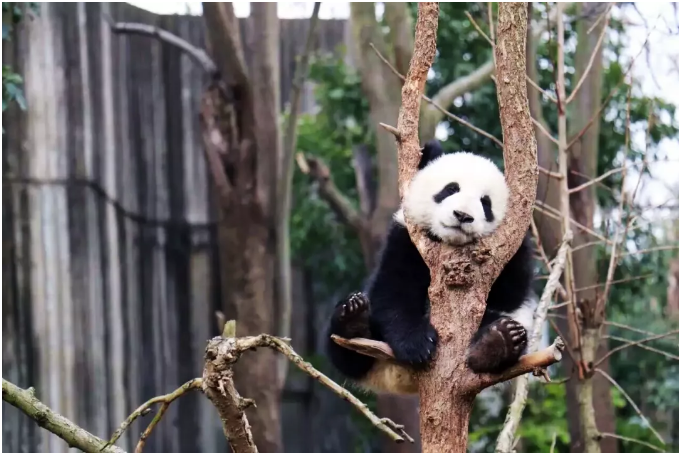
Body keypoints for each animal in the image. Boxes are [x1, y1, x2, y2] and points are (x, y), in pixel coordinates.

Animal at [324, 140, 536, 396]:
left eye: (486, 203)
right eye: (450, 189)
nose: (462, 215)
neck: (449, 245)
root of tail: (396, 376)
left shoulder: (510, 252)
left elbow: (509, 296)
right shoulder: (406, 238)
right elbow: (395, 290)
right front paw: (417, 344)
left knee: (505, 326)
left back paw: (497, 342)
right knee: (342, 349)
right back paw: (352, 320)